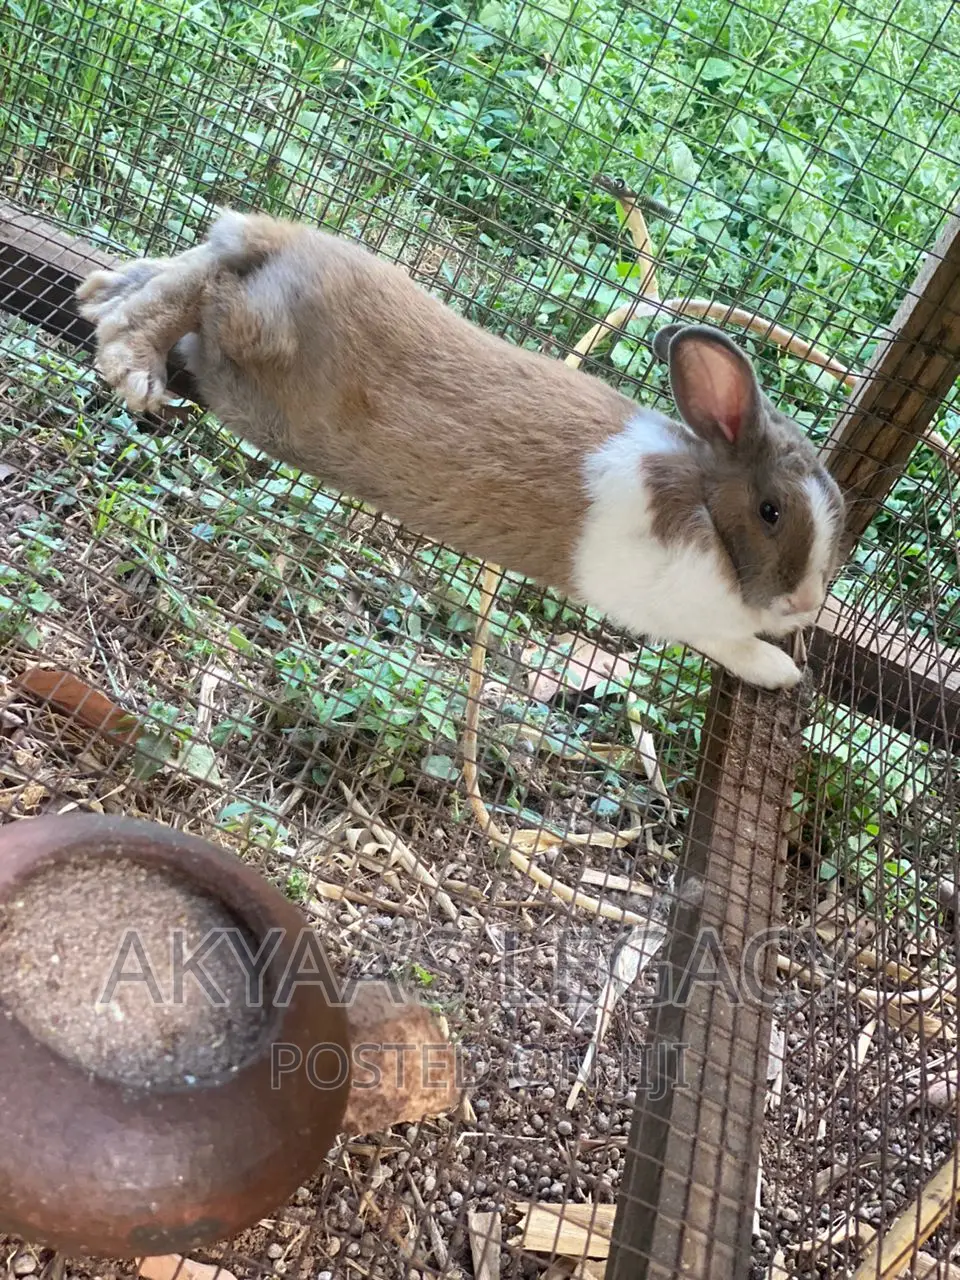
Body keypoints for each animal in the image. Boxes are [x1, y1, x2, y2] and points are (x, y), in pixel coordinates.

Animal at [75, 209, 846, 691]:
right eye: (772, 512)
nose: (806, 604)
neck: (708, 509)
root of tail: (282, 241)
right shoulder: (676, 610)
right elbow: (730, 646)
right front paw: (783, 672)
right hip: (257, 335)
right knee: (207, 285)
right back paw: (131, 361)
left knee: (200, 261)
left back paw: (103, 290)